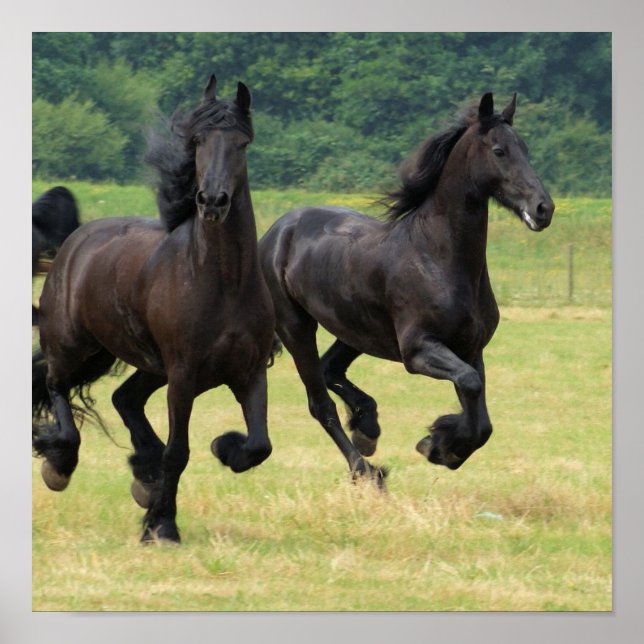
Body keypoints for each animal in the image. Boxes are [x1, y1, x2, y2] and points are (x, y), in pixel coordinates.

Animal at [258, 93, 554, 485]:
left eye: (525, 148)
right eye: (499, 150)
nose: (543, 208)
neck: (437, 257)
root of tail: (276, 233)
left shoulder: (471, 348)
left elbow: (480, 417)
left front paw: (441, 445)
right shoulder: (418, 350)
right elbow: (470, 385)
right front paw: (439, 443)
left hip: (356, 330)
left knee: (330, 369)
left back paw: (367, 426)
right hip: (297, 328)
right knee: (320, 403)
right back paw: (366, 470)